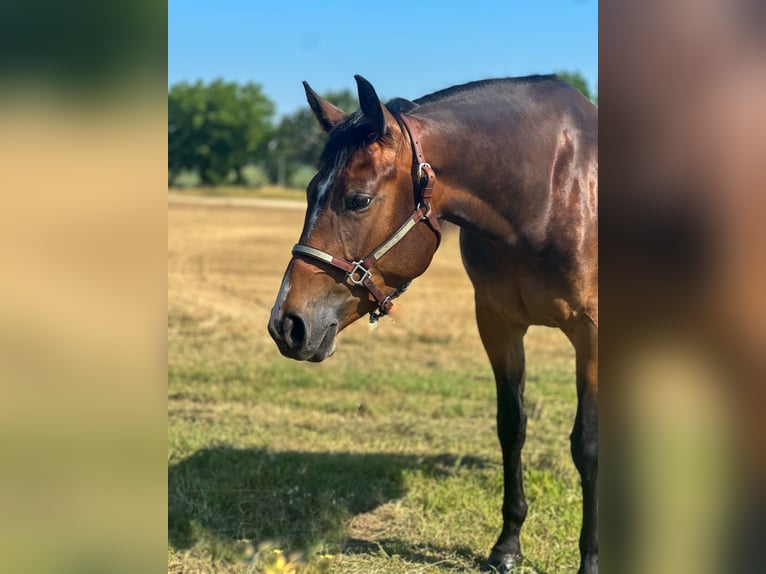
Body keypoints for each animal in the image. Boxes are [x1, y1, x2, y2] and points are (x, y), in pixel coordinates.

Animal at [268, 74, 598, 574]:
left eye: (358, 199)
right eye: (309, 192)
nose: (288, 324)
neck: (552, 193)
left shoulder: (592, 332)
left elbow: (587, 444)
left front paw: (591, 558)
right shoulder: (497, 323)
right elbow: (511, 426)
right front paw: (506, 545)